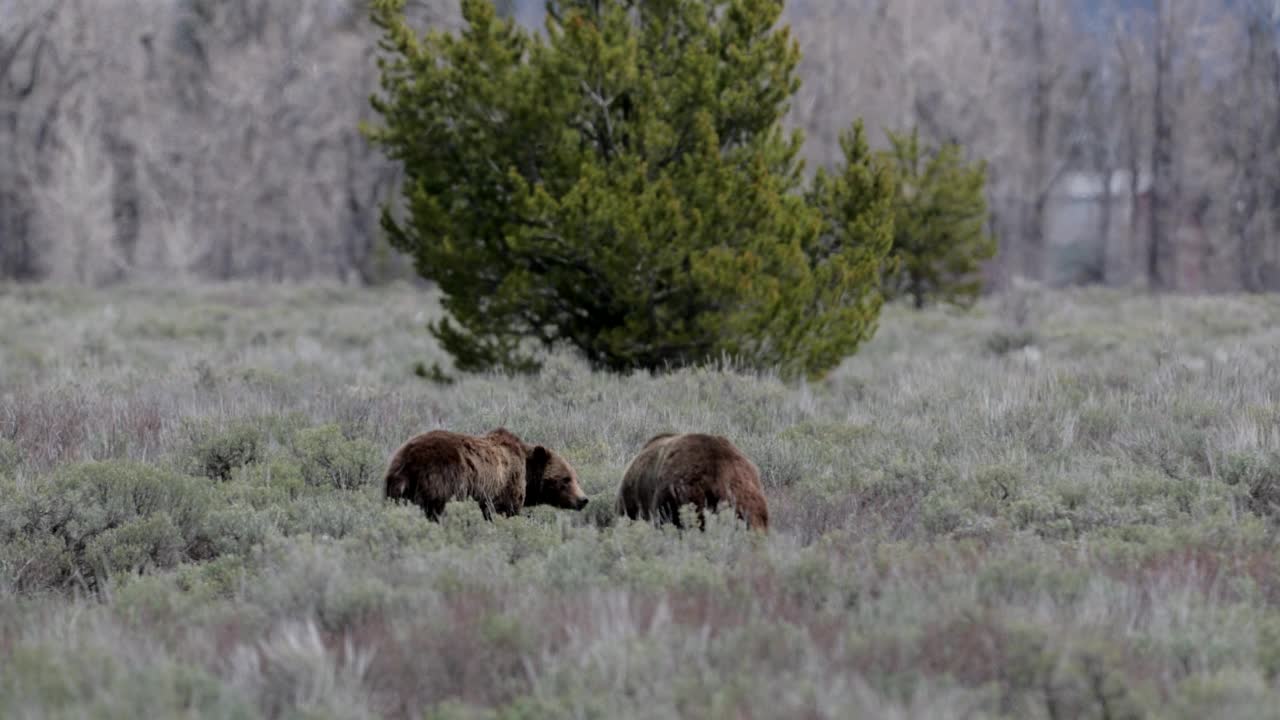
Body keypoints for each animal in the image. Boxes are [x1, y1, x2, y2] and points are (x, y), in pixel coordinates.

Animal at [381, 425, 586, 520]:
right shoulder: (506, 486)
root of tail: (407, 460)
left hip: (394, 486)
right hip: (440, 480)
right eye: (566, 479)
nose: (583, 499)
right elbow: (503, 511)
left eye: (576, 478)